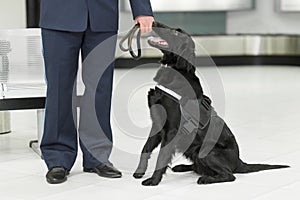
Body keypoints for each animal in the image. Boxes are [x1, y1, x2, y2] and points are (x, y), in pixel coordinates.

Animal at [133, 22, 288, 187]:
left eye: (176, 33)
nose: (153, 23)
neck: (175, 70)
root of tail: (239, 162)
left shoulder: (171, 130)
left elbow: (161, 158)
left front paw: (153, 180)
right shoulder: (158, 124)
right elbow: (145, 149)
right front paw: (139, 172)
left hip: (207, 152)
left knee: (228, 175)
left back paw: (206, 179)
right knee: (199, 167)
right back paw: (183, 167)